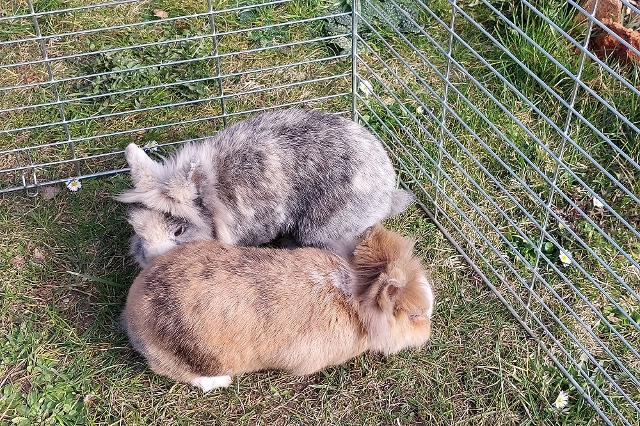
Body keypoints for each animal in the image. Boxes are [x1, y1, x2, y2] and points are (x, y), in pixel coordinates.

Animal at [116, 108, 414, 267]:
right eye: (138, 230)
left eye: (179, 231)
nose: (151, 263)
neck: (215, 200)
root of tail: (387, 194)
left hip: (321, 227)